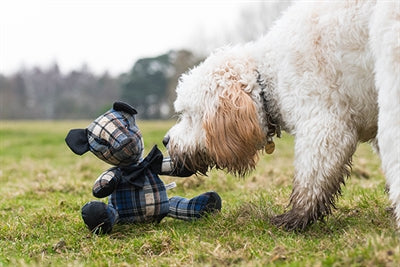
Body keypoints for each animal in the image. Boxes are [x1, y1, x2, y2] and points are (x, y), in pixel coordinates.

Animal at [163, 0, 400, 230]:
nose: (165, 140)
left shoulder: (324, 125)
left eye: (189, 115)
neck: (268, 77)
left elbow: (311, 178)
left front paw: (296, 218)